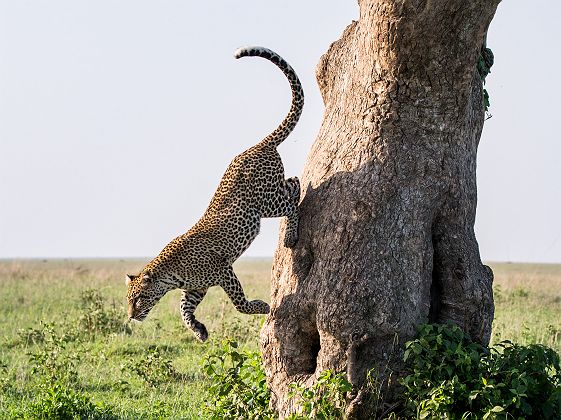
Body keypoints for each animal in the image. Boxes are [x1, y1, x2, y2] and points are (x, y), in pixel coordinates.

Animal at [125, 46, 304, 342]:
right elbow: (184, 310)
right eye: (129, 299)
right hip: (270, 193)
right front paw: (199, 331)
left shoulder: (222, 270)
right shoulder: (195, 288)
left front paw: (262, 306)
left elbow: (238, 303)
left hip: (265, 203)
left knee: (293, 199)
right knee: (293, 182)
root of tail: (257, 145)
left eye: (138, 298)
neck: (170, 274)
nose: (131, 316)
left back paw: (291, 235)